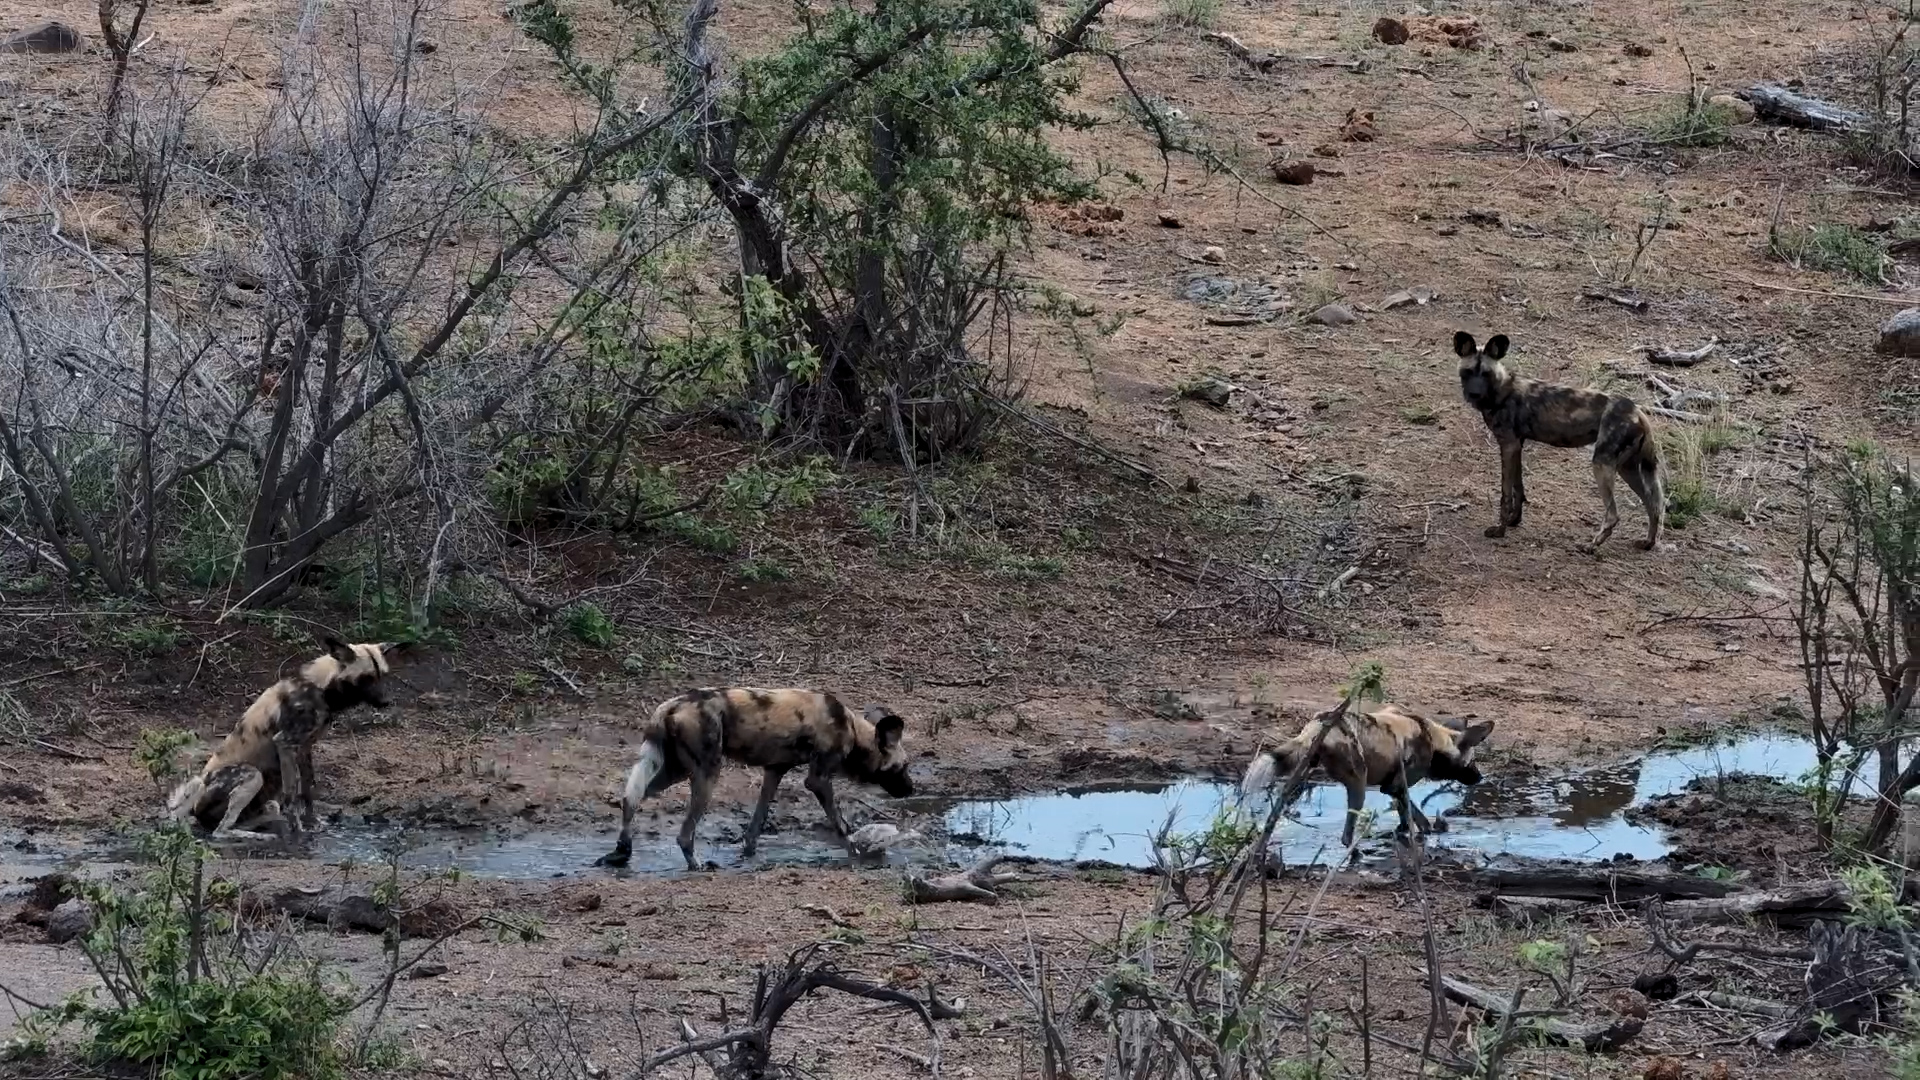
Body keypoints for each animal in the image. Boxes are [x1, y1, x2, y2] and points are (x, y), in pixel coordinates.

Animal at [167, 638, 400, 838]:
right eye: (366, 678)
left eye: (383, 675)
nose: (387, 701)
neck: (321, 688)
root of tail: (194, 805)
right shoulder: (285, 743)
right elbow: (292, 792)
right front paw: (298, 830)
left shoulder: (305, 747)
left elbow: (307, 789)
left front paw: (312, 823)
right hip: (252, 775)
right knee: (221, 830)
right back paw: (257, 837)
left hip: (265, 800)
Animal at [597, 687, 915, 870]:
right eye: (903, 766)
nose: (911, 790)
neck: (852, 730)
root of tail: (671, 705)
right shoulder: (818, 780)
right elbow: (841, 824)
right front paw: (856, 851)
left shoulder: (774, 772)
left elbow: (757, 823)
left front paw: (749, 854)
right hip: (707, 774)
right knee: (684, 832)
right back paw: (697, 864)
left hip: (674, 771)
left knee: (631, 797)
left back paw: (622, 851)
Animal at [1240, 701, 1494, 848]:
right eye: (1472, 761)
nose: (1479, 777)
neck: (1434, 738)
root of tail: (1321, 724)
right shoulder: (1395, 786)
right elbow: (1417, 815)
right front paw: (1430, 830)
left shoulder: (1395, 787)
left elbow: (1405, 814)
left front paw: (1402, 831)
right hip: (1358, 785)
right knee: (1346, 835)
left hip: (1297, 782)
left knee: (1274, 814)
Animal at [1455, 330, 1664, 552]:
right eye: (1467, 372)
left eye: (1486, 374)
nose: (1474, 394)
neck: (1501, 390)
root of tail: (1637, 411)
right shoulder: (1517, 445)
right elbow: (1518, 488)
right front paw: (1514, 521)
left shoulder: (1508, 445)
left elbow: (1505, 494)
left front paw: (1500, 530)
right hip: (1627, 468)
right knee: (1653, 504)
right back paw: (1648, 543)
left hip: (1602, 464)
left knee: (1613, 515)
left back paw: (1591, 545)